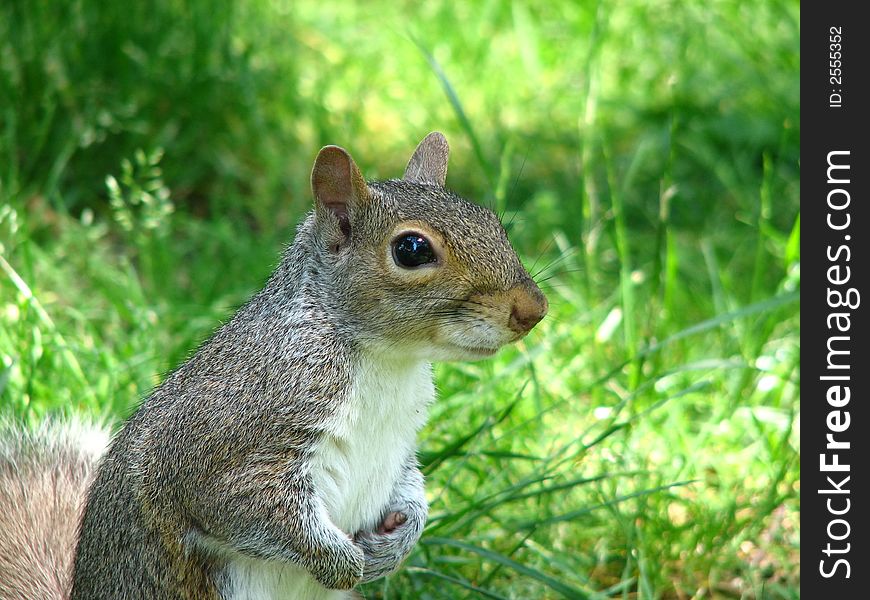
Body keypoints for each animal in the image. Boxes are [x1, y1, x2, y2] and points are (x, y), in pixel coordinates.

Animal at [0, 132, 544, 600]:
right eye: (411, 249)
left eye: (493, 221)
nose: (533, 310)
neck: (387, 360)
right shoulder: (232, 441)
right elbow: (246, 506)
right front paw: (342, 562)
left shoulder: (402, 441)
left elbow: (409, 486)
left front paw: (399, 540)